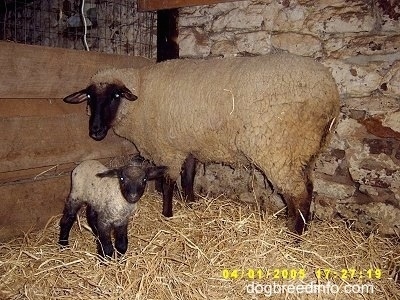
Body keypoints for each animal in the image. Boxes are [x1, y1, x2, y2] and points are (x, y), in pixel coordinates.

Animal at [64, 52, 340, 233]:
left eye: (115, 96)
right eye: (90, 96)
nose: (95, 131)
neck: (140, 94)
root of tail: (330, 92)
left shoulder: (168, 149)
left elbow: (168, 184)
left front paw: (167, 214)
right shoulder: (187, 144)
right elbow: (188, 176)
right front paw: (190, 203)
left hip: (279, 150)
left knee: (298, 194)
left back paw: (294, 237)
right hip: (306, 151)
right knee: (309, 188)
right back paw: (298, 228)